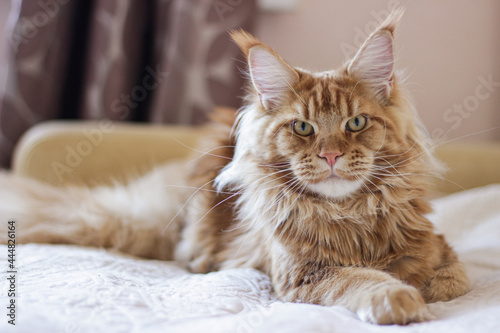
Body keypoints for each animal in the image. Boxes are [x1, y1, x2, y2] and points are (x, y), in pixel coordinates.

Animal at [0, 10, 468, 324]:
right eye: (302, 127)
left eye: (356, 123)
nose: (331, 156)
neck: (349, 215)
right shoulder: (303, 275)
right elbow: (363, 279)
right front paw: (399, 297)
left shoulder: (436, 245)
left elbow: (450, 277)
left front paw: (422, 283)